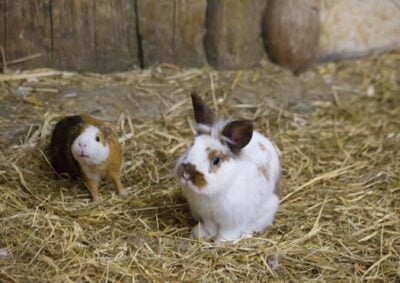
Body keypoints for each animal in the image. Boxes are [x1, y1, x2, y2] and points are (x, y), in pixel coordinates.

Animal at [175, 93, 282, 244]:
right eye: (192, 145)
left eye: (216, 161)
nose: (186, 175)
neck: (211, 194)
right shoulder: (206, 215)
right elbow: (210, 227)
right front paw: (200, 234)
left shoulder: (232, 221)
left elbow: (228, 232)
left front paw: (221, 243)